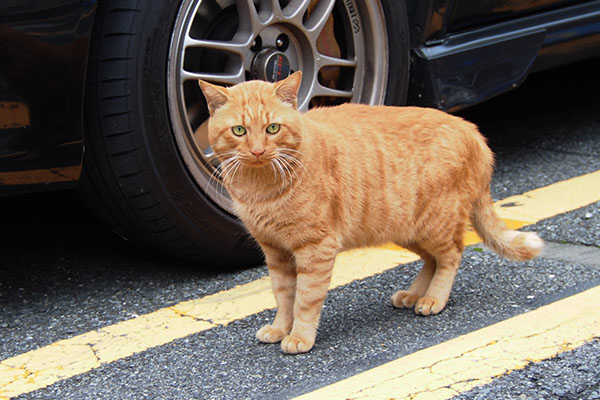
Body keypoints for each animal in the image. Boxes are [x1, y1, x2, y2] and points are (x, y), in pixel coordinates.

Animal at [198, 72, 544, 354]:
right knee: (432, 260)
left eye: (272, 128)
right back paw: (414, 295)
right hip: (406, 229)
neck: (260, 188)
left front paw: (299, 336)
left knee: (451, 256)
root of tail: (472, 130)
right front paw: (281, 328)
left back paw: (433, 299)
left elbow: (305, 299)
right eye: (239, 131)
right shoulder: (276, 252)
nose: (257, 151)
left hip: (435, 223)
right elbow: (284, 296)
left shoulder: (315, 248)